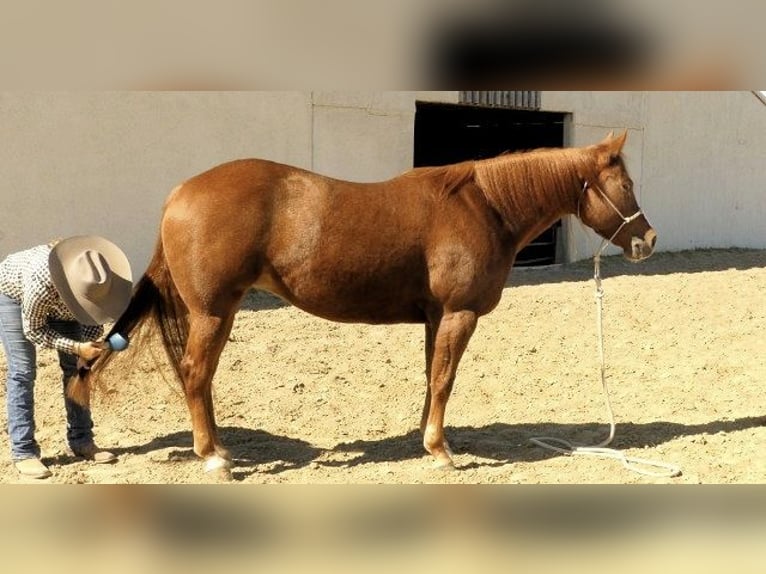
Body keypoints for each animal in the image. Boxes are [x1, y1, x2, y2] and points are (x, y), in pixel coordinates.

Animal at [72, 130, 656, 480]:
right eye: (626, 184)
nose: (647, 241)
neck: (484, 207)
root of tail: (180, 194)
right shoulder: (459, 314)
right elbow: (445, 377)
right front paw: (442, 451)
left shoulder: (436, 317)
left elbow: (432, 376)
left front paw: (426, 439)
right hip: (214, 313)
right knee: (196, 374)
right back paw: (214, 457)